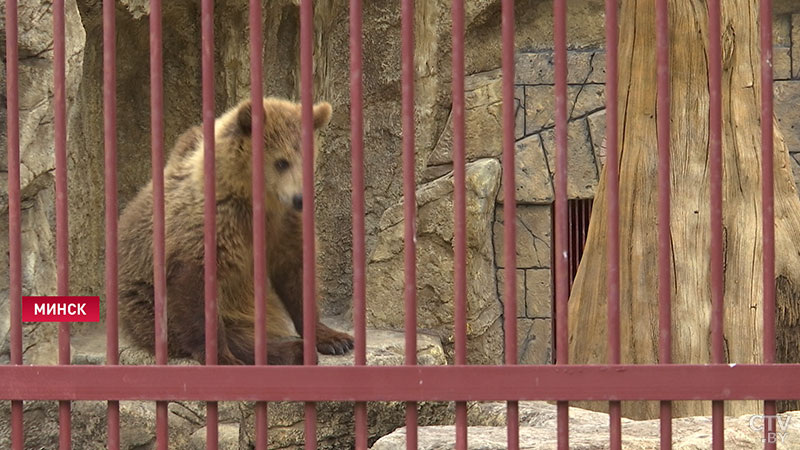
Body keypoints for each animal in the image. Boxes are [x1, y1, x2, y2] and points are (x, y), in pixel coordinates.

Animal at [118, 96, 354, 364]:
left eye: (307, 160)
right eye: (281, 162)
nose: (300, 199)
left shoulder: (283, 226)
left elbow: (296, 275)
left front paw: (334, 338)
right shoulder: (211, 229)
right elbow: (197, 293)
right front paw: (223, 357)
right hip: (145, 300)